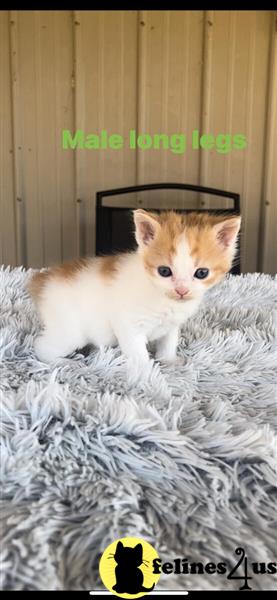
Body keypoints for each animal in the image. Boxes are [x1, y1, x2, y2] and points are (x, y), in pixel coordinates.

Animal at [27, 211, 239, 366]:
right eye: (164, 271)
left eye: (201, 273)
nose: (181, 290)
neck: (163, 297)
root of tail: (42, 280)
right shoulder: (128, 324)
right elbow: (138, 354)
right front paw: (145, 375)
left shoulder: (171, 325)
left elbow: (169, 342)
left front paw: (169, 361)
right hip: (70, 331)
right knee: (41, 345)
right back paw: (62, 362)